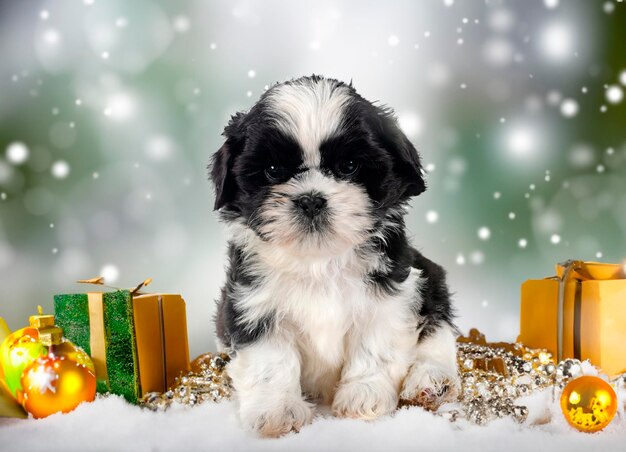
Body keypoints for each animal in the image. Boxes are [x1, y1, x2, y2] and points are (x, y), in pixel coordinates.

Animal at [210, 75, 458, 438]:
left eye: (349, 167)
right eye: (272, 170)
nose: (311, 199)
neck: (319, 260)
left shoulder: (391, 294)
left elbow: (374, 346)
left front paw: (364, 394)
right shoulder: (252, 303)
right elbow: (270, 360)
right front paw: (277, 409)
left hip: (432, 281)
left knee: (438, 334)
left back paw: (431, 379)